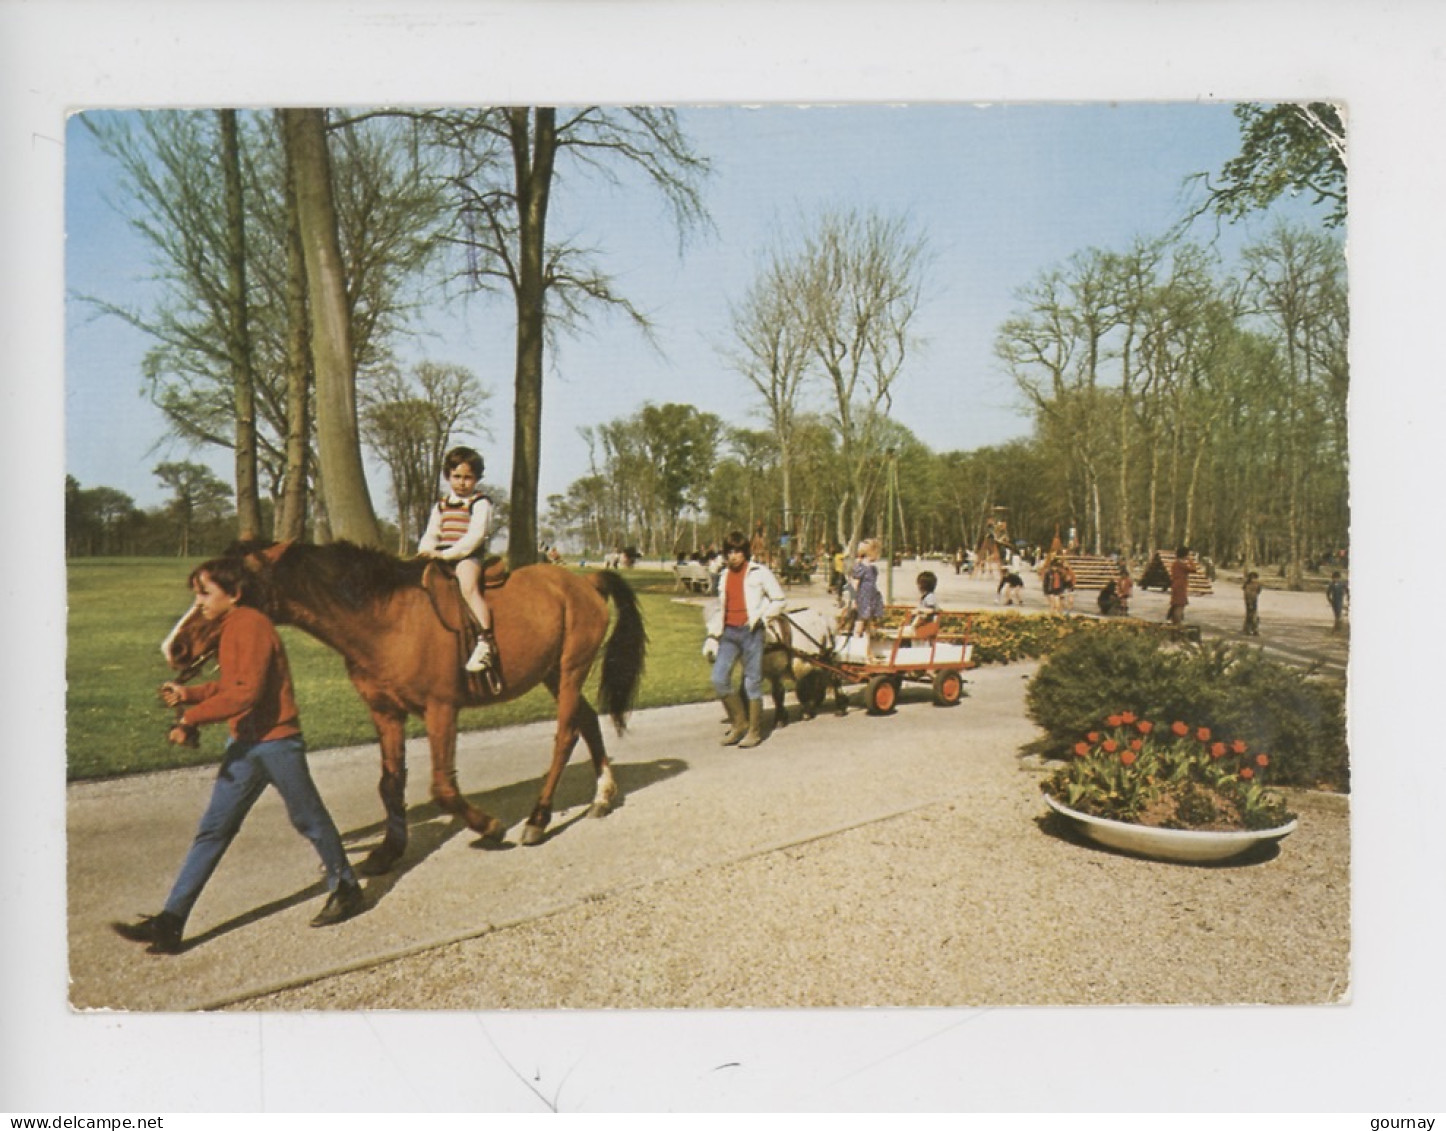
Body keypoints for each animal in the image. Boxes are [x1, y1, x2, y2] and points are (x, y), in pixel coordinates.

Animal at [159, 543, 650, 879]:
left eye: (223, 593)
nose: (174, 646)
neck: (386, 618)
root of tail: (584, 582)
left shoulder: (441, 709)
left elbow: (442, 787)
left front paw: (489, 826)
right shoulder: (385, 713)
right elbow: (390, 784)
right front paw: (388, 850)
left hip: (569, 670)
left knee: (566, 733)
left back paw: (538, 818)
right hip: (552, 673)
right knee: (586, 721)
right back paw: (602, 795)